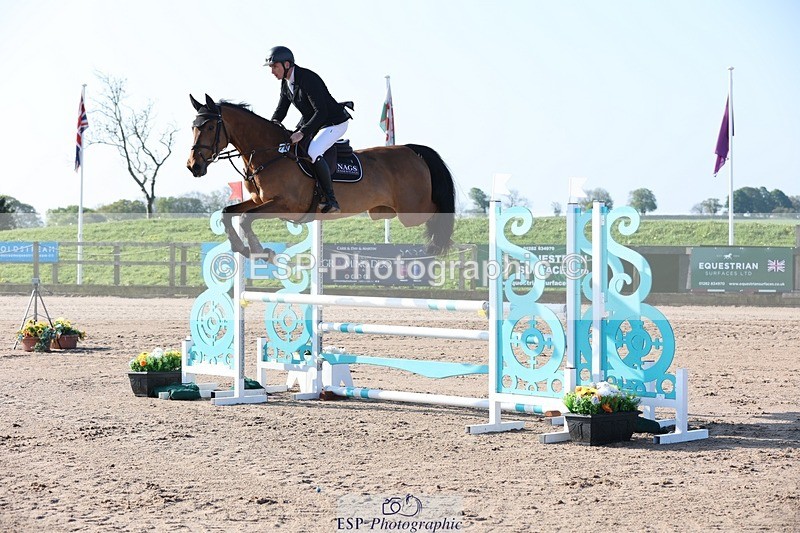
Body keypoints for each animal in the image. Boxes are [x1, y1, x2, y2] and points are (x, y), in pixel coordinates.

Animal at [186, 94, 455, 258]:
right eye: (193, 127)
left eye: (210, 126)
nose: (193, 166)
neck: (271, 153)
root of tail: (412, 150)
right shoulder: (258, 201)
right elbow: (229, 213)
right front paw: (243, 249)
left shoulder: (286, 206)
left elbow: (244, 219)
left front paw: (262, 253)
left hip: (412, 211)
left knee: (439, 212)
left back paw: (435, 243)